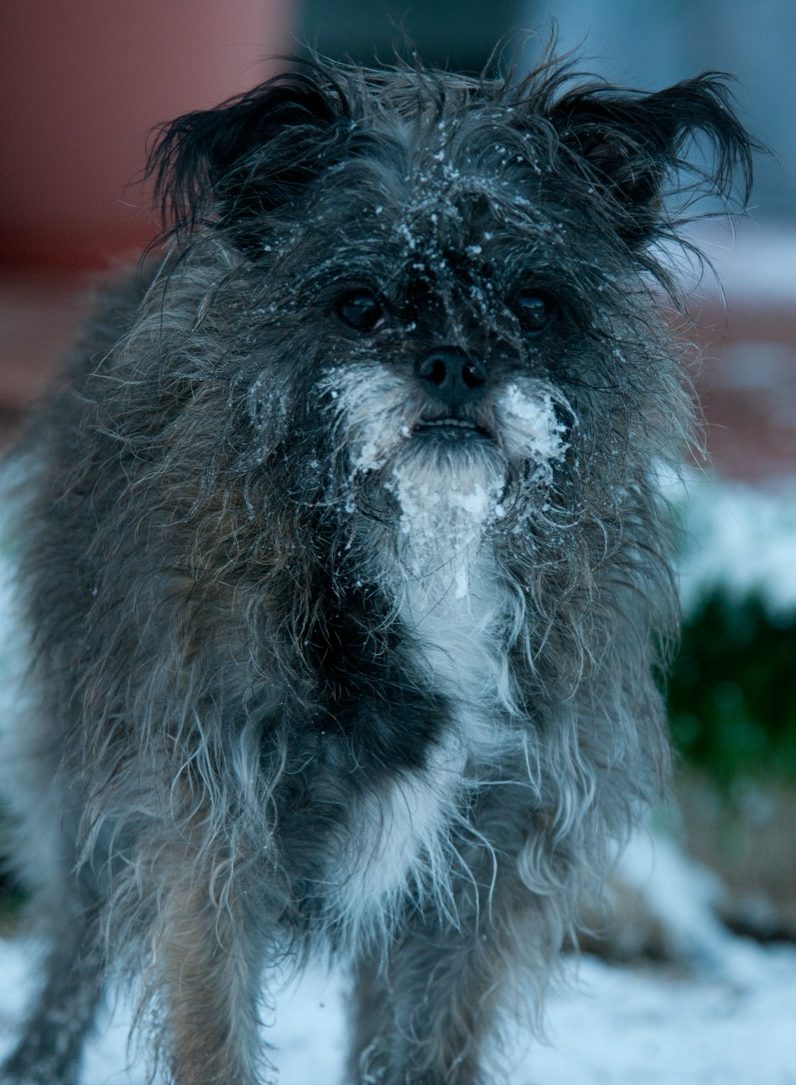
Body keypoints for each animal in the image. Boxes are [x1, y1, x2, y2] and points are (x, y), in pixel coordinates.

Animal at [0, 48, 754, 1085]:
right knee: (74, 953)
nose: (454, 363)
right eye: (360, 304)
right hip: (88, 800)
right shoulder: (210, 846)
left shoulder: (478, 871)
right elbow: (213, 1033)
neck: (434, 551)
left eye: (533, 302)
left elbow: (429, 1044)